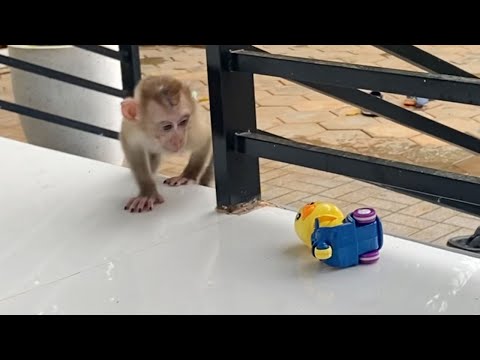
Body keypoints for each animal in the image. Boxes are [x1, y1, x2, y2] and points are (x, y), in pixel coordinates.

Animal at [119, 74, 212, 212]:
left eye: (183, 122)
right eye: (167, 127)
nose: (178, 139)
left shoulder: (193, 129)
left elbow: (206, 139)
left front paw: (188, 176)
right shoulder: (132, 127)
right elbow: (133, 148)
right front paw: (147, 192)